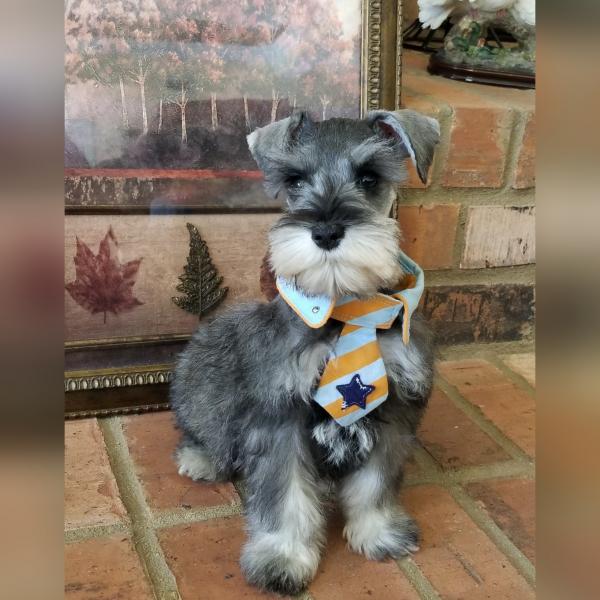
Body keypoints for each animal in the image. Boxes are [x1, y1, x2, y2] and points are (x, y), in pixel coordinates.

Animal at [171, 109, 438, 596]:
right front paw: (283, 556)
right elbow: (285, 493)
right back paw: (200, 458)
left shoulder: (395, 407)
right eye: (295, 180)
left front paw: (378, 532)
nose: (327, 231)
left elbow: (375, 483)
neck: (345, 310)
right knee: (206, 430)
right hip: (208, 367)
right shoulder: (281, 412)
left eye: (369, 177)